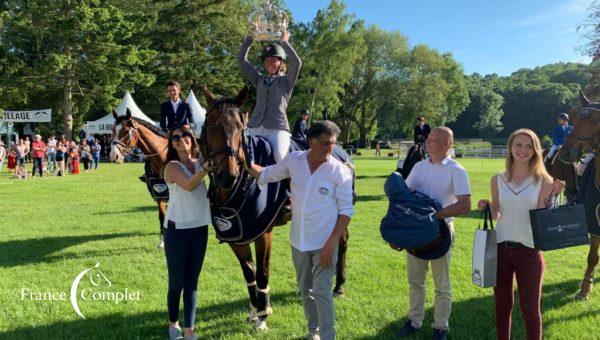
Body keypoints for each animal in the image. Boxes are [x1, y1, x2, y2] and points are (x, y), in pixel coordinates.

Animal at [108, 110, 168, 248]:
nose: (114, 156)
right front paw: (162, 242)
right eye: (112, 130)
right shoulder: (159, 195)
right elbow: (162, 216)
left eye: (125, 131)